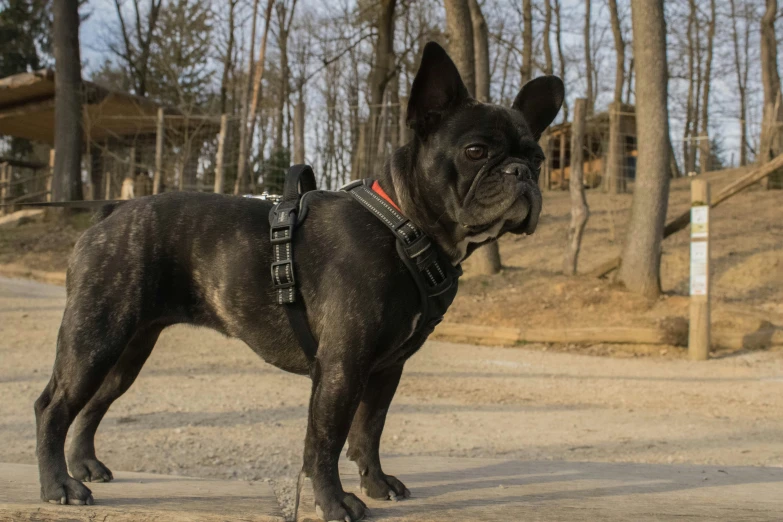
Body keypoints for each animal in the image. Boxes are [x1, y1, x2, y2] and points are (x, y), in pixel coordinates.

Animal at [36, 42, 564, 516]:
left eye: (539, 159)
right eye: (476, 151)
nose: (522, 173)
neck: (403, 226)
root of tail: (112, 210)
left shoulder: (386, 368)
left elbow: (369, 429)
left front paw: (376, 484)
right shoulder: (342, 365)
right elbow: (325, 439)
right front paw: (335, 502)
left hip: (126, 351)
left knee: (93, 404)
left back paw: (84, 465)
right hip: (95, 338)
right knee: (53, 406)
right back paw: (59, 485)